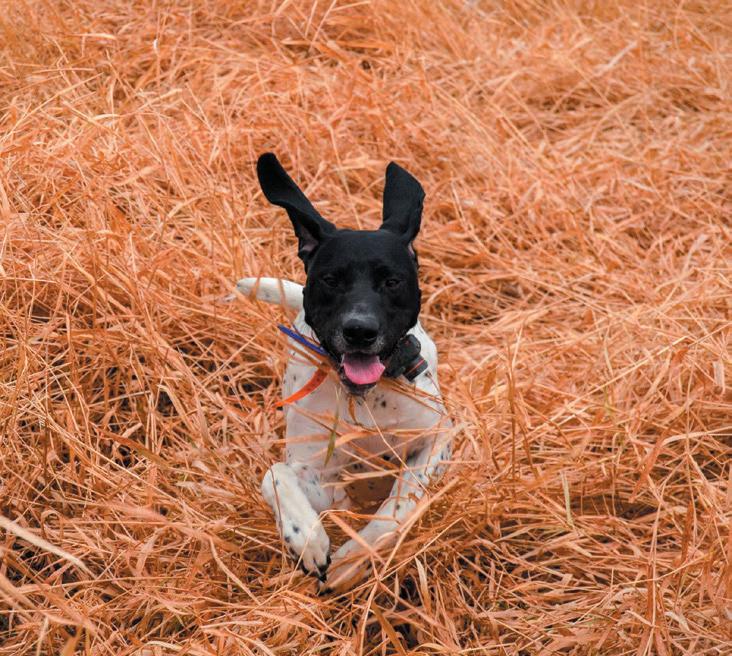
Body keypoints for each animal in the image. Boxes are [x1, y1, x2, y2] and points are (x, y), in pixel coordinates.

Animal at [237, 153, 453, 592]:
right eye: (331, 279)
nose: (359, 330)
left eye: (392, 281)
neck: (365, 398)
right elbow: (275, 474)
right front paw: (308, 538)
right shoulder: (329, 481)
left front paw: (356, 557)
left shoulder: (439, 438)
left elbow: (400, 504)